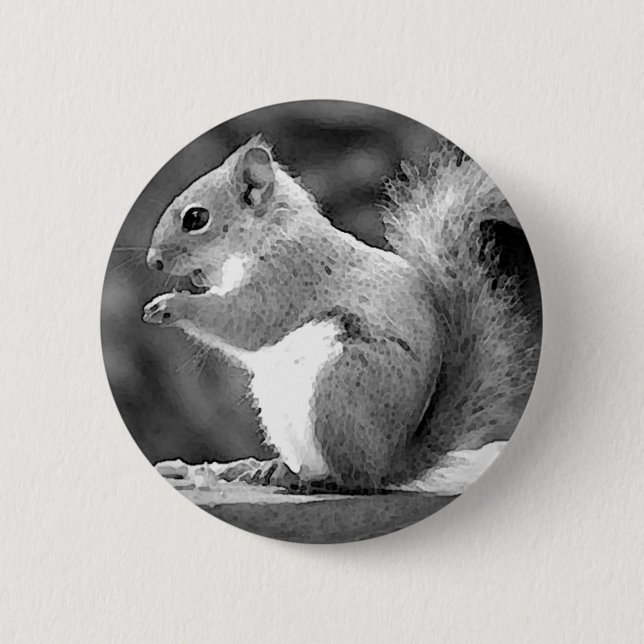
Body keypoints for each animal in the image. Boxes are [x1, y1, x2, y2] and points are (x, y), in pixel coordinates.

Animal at [142, 134, 540, 494]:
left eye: (196, 218)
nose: (153, 261)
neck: (268, 231)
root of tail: (389, 465)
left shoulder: (288, 275)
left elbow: (244, 321)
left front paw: (172, 305)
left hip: (340, 390)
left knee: (354, 479)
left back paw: (315, 479)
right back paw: (268, 469)